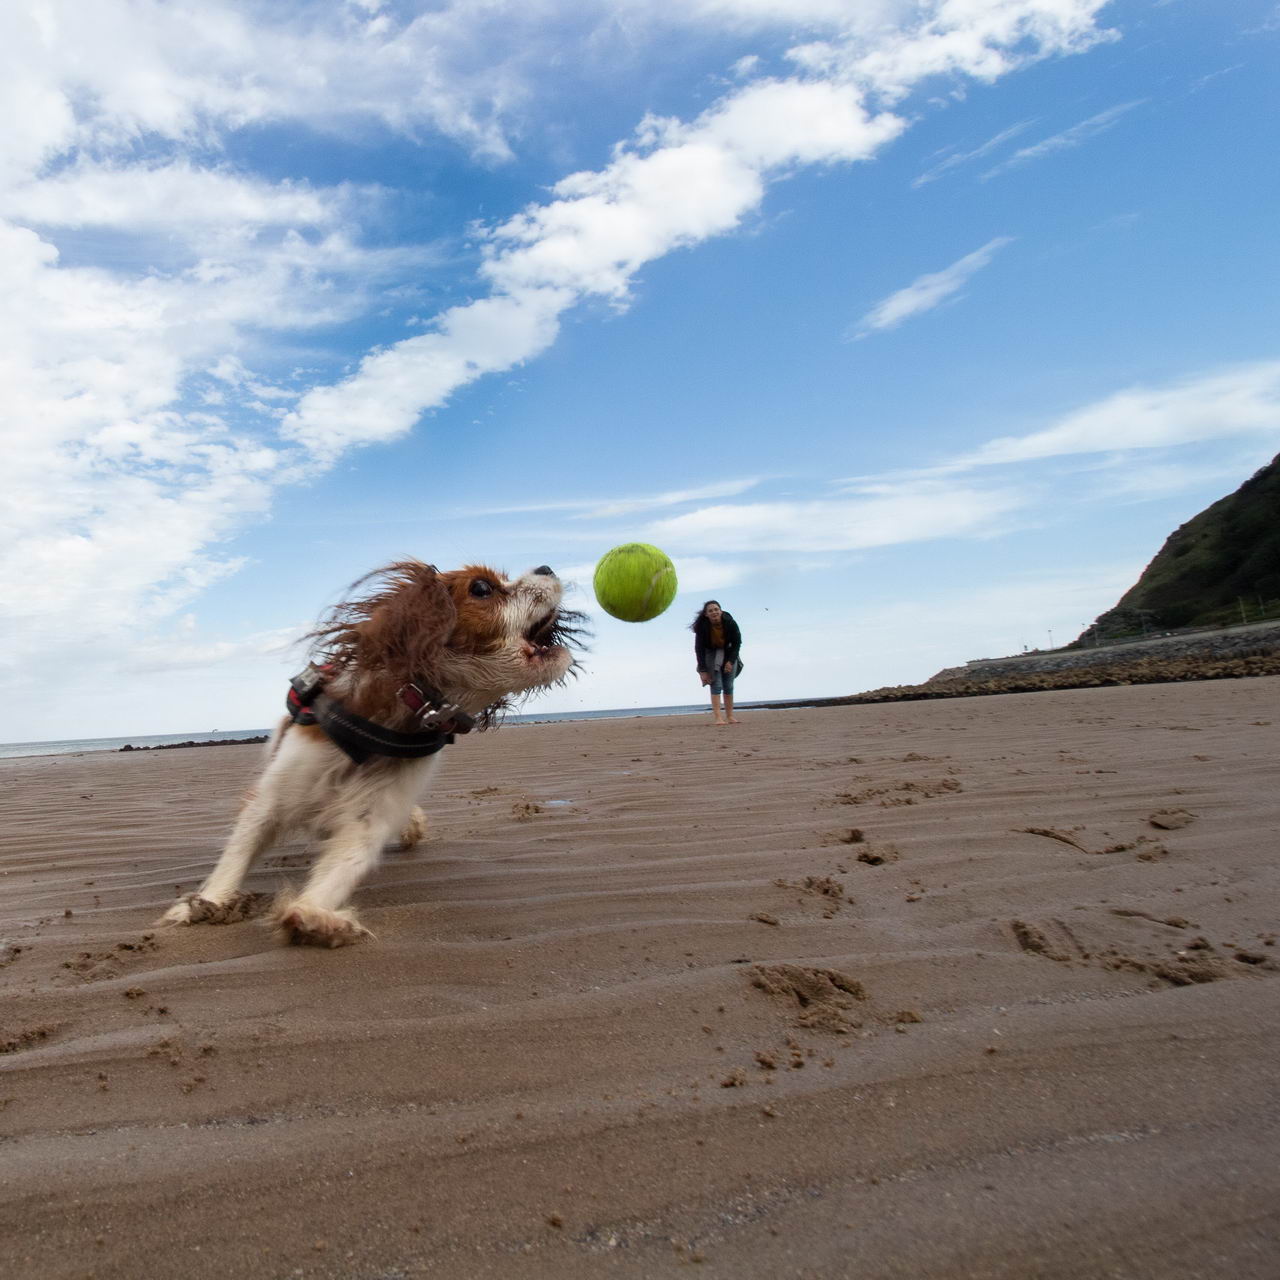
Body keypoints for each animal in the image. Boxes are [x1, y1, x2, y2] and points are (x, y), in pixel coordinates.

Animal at [161, 563, 581, 952]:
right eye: (481, 588)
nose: (546, 567)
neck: (394, 719)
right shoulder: (273, 798)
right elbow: (239, 852)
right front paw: (207, 903)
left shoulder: (373, 813)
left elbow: (345, 864)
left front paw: (313, 916)